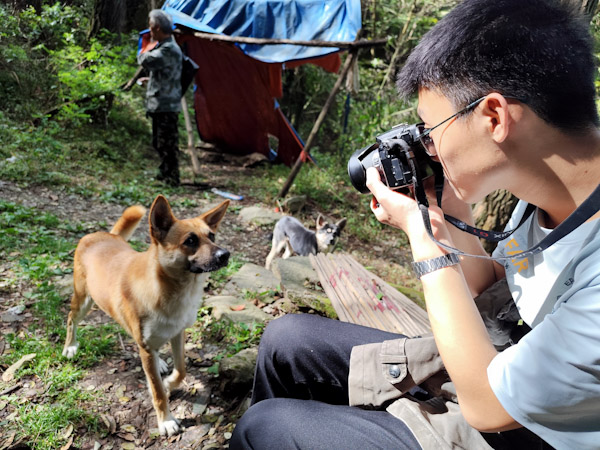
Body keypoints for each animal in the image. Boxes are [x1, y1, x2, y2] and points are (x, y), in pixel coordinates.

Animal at [61, 196, 230, 436]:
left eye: (212, 236)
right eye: (190, 241)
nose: (225, 255)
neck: (170, 290)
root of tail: (101, 234)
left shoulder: (177, 333)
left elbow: (181, 370)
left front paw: (168, 382)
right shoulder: (147, 346)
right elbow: (158, 392)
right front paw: (165, 420)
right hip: (83, 301)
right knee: (70, 319)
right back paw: (70, 346)